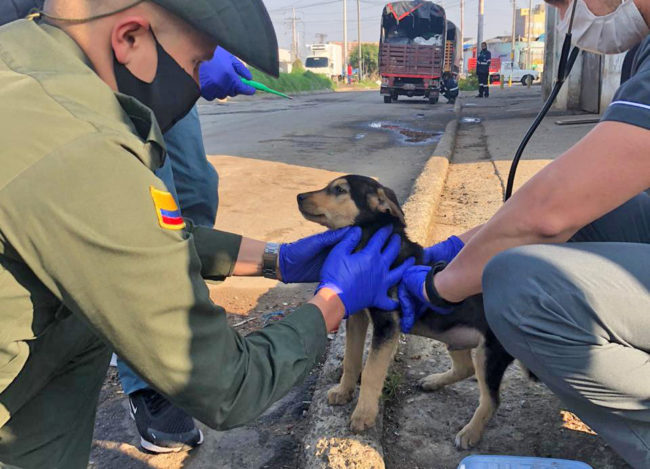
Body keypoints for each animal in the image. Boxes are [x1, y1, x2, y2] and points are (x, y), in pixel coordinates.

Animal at [297, 175, 517, 449]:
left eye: (338, 189)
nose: (298, 197)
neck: (369, 244)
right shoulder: (357, 316)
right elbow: (351, 358)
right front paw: (343, 391)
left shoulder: (387, 325)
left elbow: (371, 372)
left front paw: (363, 415)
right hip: (455, 336)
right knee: (466, 368)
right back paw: (434, 381)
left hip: (490, 353)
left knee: (491, 399)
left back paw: (470, 432)